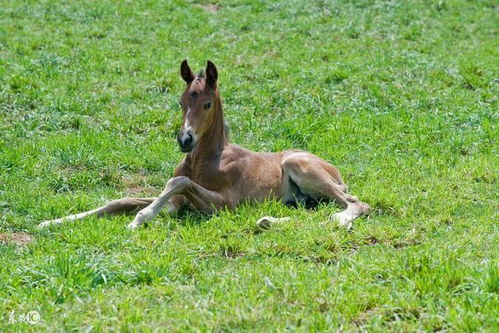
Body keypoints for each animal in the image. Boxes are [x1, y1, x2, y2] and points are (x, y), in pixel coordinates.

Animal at [40, 59, 372, 230]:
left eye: (208, 104)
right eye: (181, 101)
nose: (185, 140)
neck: (204, 160)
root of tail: (336, 170)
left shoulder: (224, 203)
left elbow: (179, 181)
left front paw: (140, 219)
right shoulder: (176, 202)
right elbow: (121, 200)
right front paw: (53, 221)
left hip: (298, 164)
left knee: (354, 204)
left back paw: (338, 219)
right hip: (303, 197)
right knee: (313, 210)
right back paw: (267, 220)